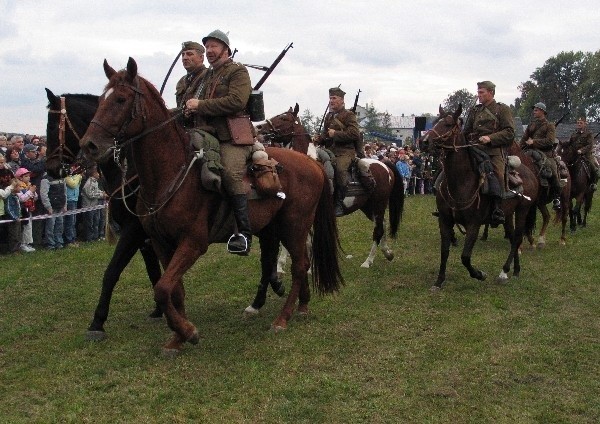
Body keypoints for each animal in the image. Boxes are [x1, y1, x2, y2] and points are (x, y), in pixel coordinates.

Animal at [45, 89, 164, 342]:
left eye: (51, 125)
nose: (50, 169)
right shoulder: (144, 235)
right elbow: (153, 270)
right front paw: (161, 308)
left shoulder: (133, 229)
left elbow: (111, 272)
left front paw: (97, 322)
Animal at [80, 58, 342, 352]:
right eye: (101, 99)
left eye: (121, 99)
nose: (89, 145)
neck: (169, 173)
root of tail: (312, 163)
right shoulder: (160, 243)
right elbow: (173, 290)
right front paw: (177, 338)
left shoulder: (192, 243)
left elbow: (161, 288)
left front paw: (188, 331)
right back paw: (300, 305)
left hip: (295, 226)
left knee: (299, 265)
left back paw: (282, 318)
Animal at [253, 104, 404, 266]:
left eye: (284, 118)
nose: (258, 128)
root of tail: (385, 165)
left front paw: (283, 265)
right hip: (368, 207)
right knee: (383, 225)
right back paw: (388, 253)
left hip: (378, 205)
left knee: (378, 230)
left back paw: (368, 261)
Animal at [426, 105, 540, 290]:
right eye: (435, 121)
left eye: (448, 124)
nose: (423, 141)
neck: (462, 181)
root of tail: (530, 173)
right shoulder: (444, 220)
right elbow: (444, 251)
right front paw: (439, 280)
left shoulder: (474, 224)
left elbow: (465, 256)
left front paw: (479, 274)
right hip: (508, 214)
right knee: (512, 237)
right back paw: (515, 270)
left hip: (523, 210)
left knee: (516, 238)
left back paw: (504, 271)